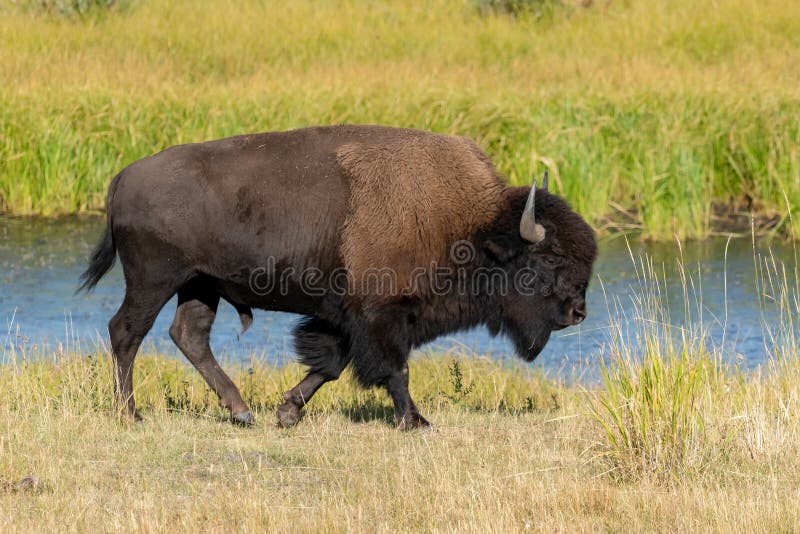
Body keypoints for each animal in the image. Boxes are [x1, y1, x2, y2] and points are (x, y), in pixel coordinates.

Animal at [81, 124, 596, 432]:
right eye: (549, 258)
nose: (578, 311)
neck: (470, 226)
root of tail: (123, 178)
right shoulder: (381, 317)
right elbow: (394, 369)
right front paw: (416, 421)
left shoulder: (345, 318)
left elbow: (330, 365)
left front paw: (287, 412)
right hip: (154, 281)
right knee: (126, 332)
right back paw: (130, 415)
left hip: (200, 285)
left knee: (189, 336)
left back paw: (242, 411)